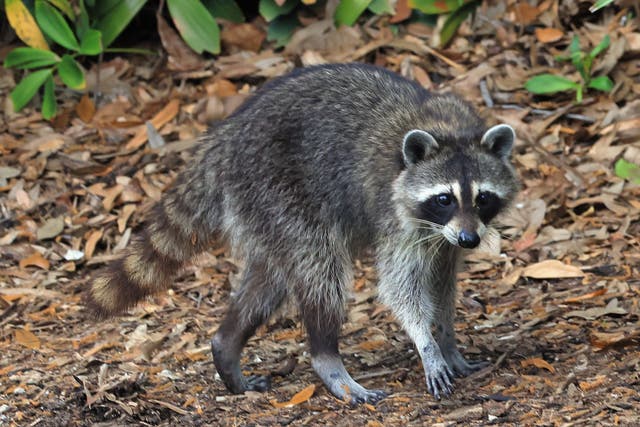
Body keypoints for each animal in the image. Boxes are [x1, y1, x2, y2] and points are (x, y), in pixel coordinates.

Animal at [88, 63, 519, 404]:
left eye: (482, 198)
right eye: (445, 198)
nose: (471, 240)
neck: (448, 130)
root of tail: (224, 140)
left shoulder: (445, 238)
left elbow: (442, 282)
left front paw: (447, 338)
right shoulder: (397, 218)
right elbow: (401, 286)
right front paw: (426, 343)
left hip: (262, 209)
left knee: (270, 279)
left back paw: (227, 346)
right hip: (278, 188)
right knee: (320, 272)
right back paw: (328, 360)